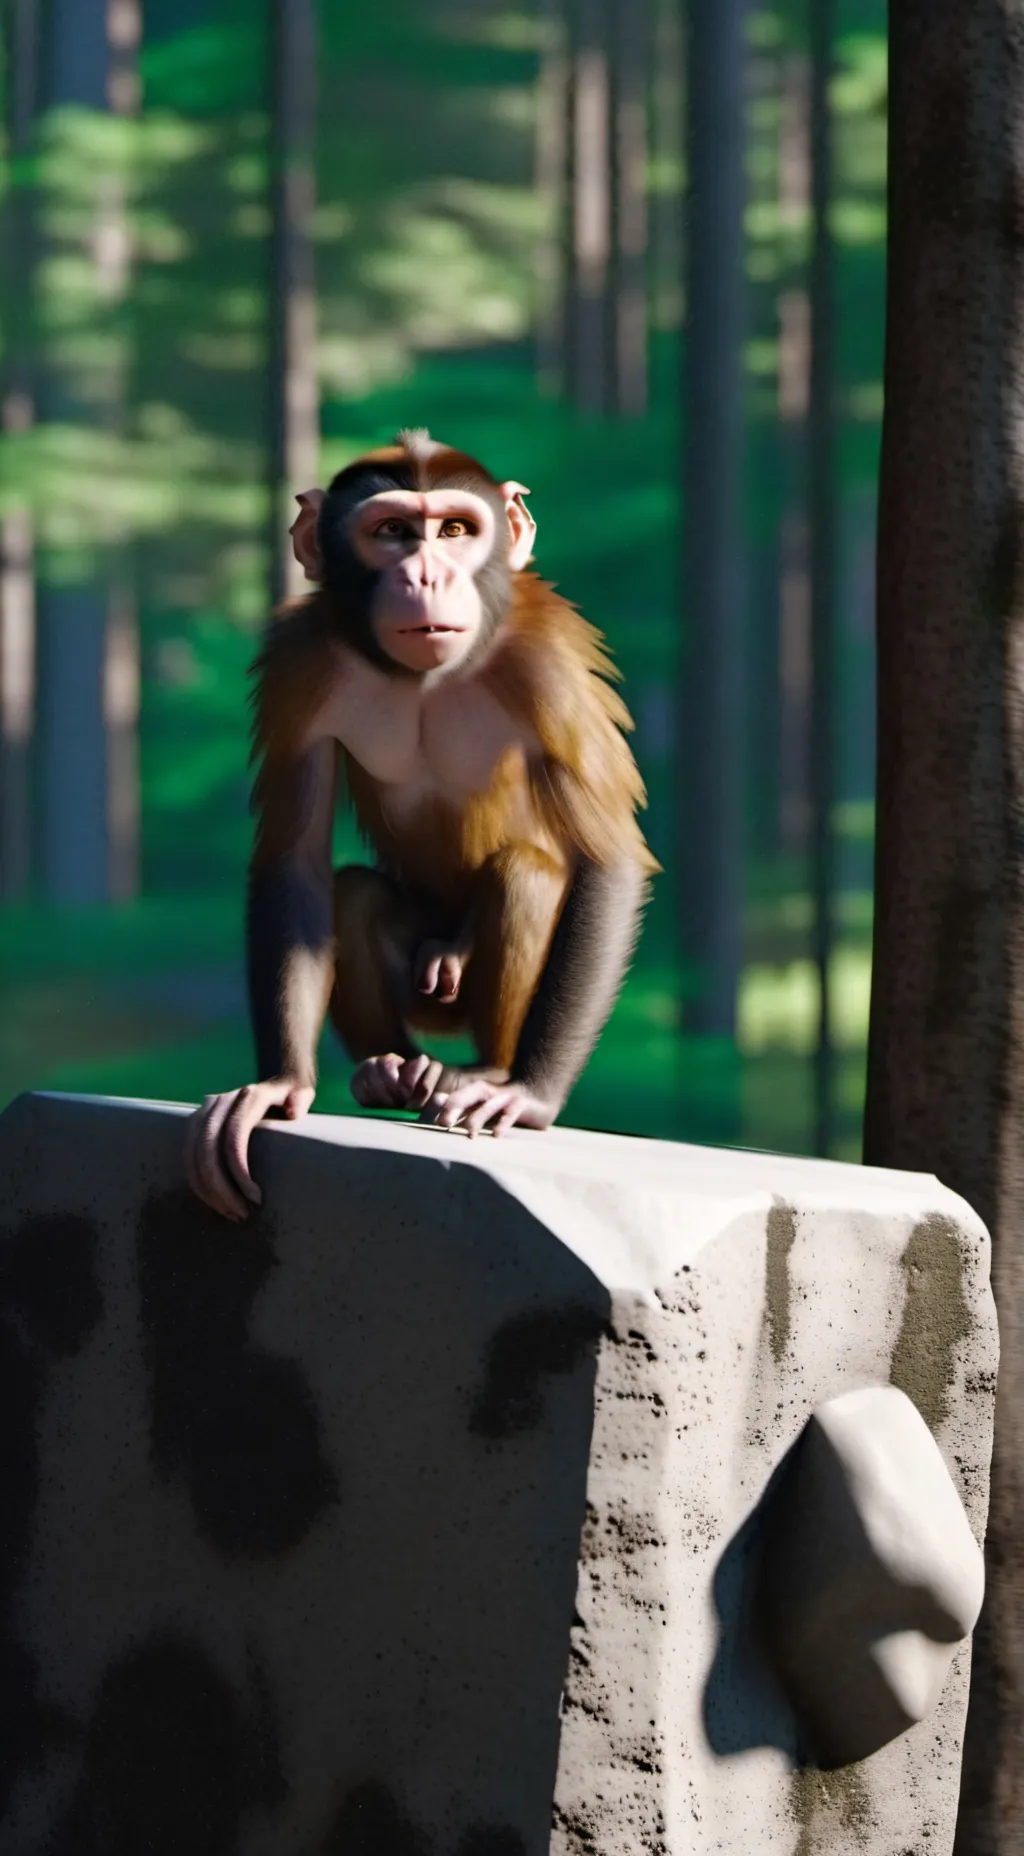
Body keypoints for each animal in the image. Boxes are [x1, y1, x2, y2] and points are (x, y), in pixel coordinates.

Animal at [185, 428, 659, 1221]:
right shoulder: (300, 661)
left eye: (456, 531)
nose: (428, 575)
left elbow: (607, 861)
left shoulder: (549, 662)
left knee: (524, 875)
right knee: (351, 893)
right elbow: (296, 860)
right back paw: (390, 1070)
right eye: (392, 532)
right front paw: (281, 1085)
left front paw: (530, 1095)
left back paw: (486, 1068)